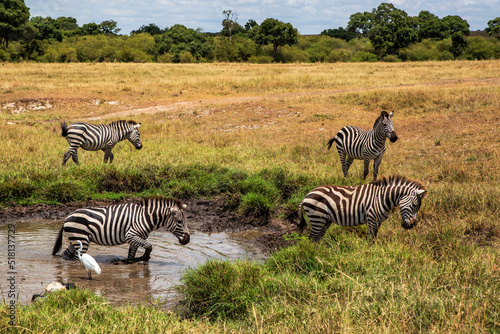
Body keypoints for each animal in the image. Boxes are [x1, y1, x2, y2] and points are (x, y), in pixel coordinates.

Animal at [52, 196, 189, 264]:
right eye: (179, 222)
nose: (187, 240)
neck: (145, 217)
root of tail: (67, 218)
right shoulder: (131, 235)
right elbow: (149, 246)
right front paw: (144, 258)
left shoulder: (137, 238)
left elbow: (132, 254)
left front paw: (130, 261)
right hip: (81, 239)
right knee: (76, 259)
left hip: (75, 239)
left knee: (66, 254)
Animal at [298, 175, 428, 243]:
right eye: (414, 205)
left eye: (417, 207)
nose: (411, 226)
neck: (382, 198)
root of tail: (306, 196)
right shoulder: (371, 218)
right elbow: (371, 239)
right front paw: (370, 254)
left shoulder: (378, 221)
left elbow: (374, 238)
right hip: (317, 217)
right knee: (311, 239)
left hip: (325, 220)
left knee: (316, 239)